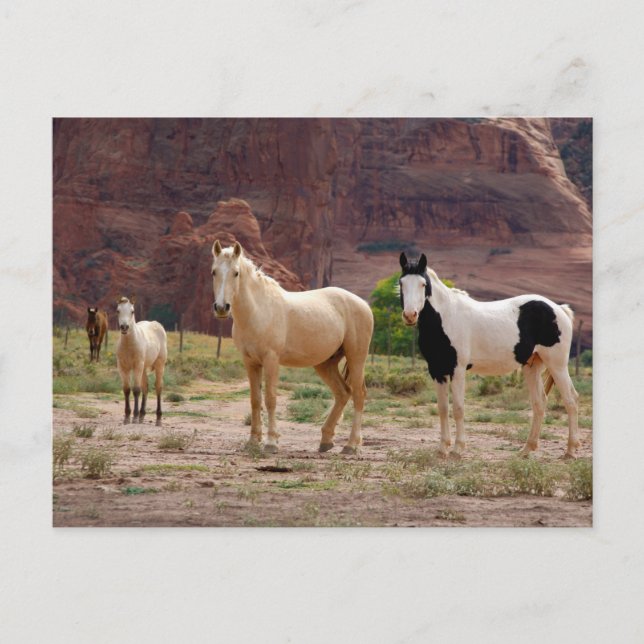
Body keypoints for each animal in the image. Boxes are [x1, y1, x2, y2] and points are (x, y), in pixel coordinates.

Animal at [115, 296, 168, 424]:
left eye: (132, 311)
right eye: (118, 311)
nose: (124, 327)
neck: (129, 345)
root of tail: (158, 325)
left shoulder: (137, 366)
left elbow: (136, 390)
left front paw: (134, 417)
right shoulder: (122, 367)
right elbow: (127, 390)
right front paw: (127, 416)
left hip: (159, 365)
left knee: (158, 387)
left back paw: (158, 418)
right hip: (143, 369)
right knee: (146, 387)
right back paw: (142, 415)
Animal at [211, 240, 374, 454]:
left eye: (236, 273)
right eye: (214, 272)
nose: (222, 308)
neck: (258, 310)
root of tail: (363, 304)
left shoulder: (271, 360)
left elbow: (270, 399)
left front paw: (271, 442)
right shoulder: (250, 362)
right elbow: (255, 400)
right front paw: (253, 441)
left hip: (356, 358)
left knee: (358, 395)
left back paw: (351, 445)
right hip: (325, 364)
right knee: (343, 393)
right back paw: (326, 441)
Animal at [398, 252, 579, 459]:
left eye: (423, 284)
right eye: (401, 283)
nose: (410, 315)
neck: (445, 317)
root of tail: (559, 309)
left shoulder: (457, 369)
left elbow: (458, 408)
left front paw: (458, 449)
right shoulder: (437, 370)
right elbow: (443, 409)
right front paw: (442, 448)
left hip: (557, 365)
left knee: (571, 400)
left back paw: (570, 451)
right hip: (532, 366)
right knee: (539, 403)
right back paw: (526, 450)